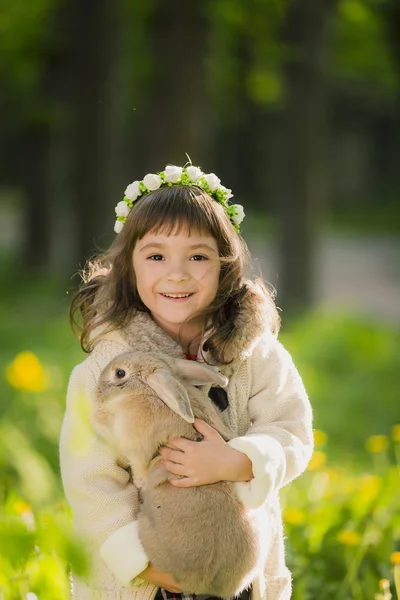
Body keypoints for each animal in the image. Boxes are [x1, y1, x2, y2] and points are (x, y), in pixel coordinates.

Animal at [94, 352, 268, 600]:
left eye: (120, 373)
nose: (98, 390)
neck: (147, 392)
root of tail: (208, 584)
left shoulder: (137, 445)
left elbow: (139, 464)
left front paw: (140, 480)